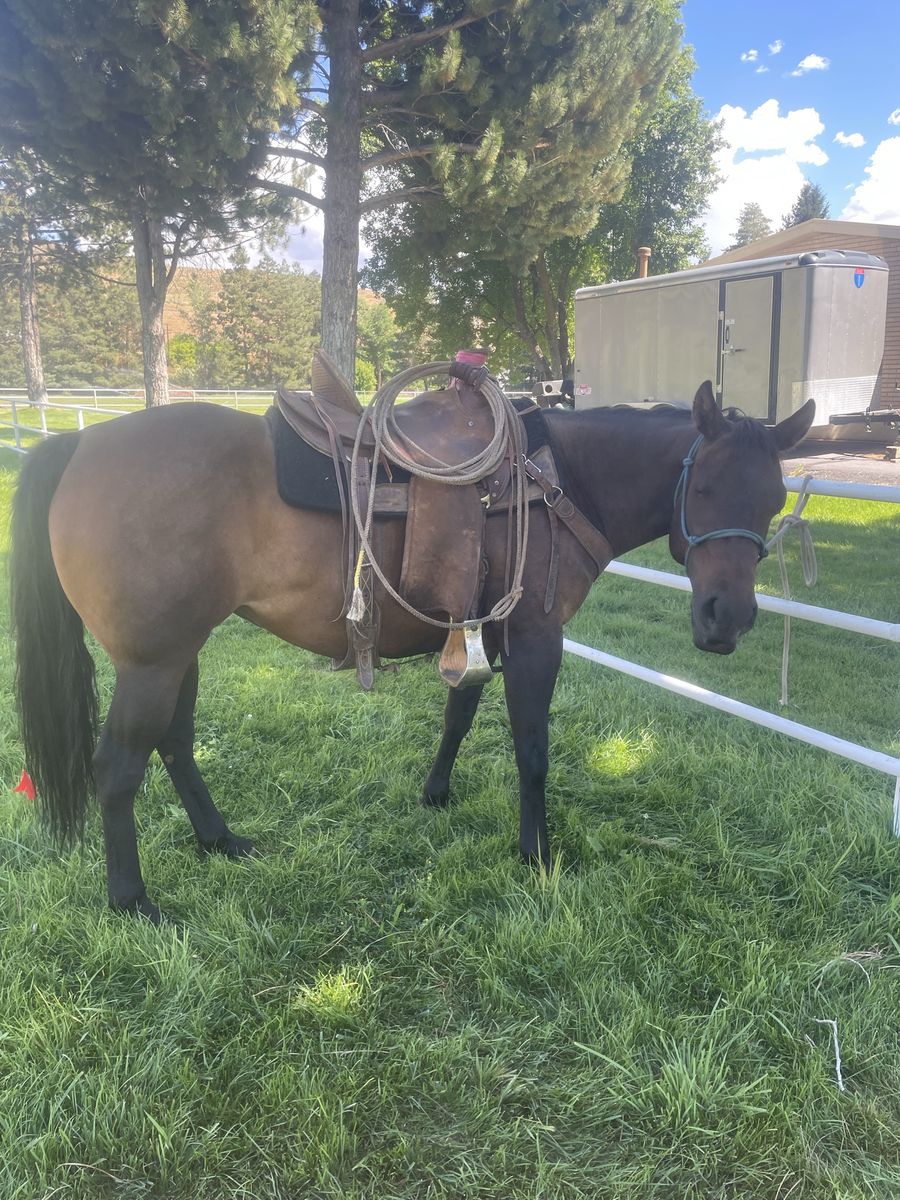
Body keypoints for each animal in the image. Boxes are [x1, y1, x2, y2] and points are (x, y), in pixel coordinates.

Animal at [10, 380, 815, 923]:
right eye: (703, 488)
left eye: (774, 500)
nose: (726, 620)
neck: (554, 479)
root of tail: (83, 444)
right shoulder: (536, 639)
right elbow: (532, 751)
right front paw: (536, 853)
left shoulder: (483, 628)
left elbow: (458, 715)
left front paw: (436, 793)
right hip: (152, 663)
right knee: (119, 768)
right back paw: (131, 899)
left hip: (183, 652)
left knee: (175, 745)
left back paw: (220, 841)